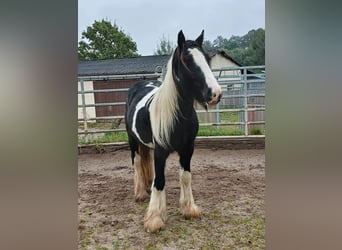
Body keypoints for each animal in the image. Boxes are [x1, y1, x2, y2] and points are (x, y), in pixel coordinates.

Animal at [125, 29, 222, 232]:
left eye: (207, 59)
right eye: (188, 61)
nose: (216, 94)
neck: (178, 117)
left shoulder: (188, 148)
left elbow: (184, 177)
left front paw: (189, 209)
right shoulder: (161, 151)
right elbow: (160, 181)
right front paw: (155, 218)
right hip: (133, 141)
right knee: (137, 163)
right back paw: (140, 193)